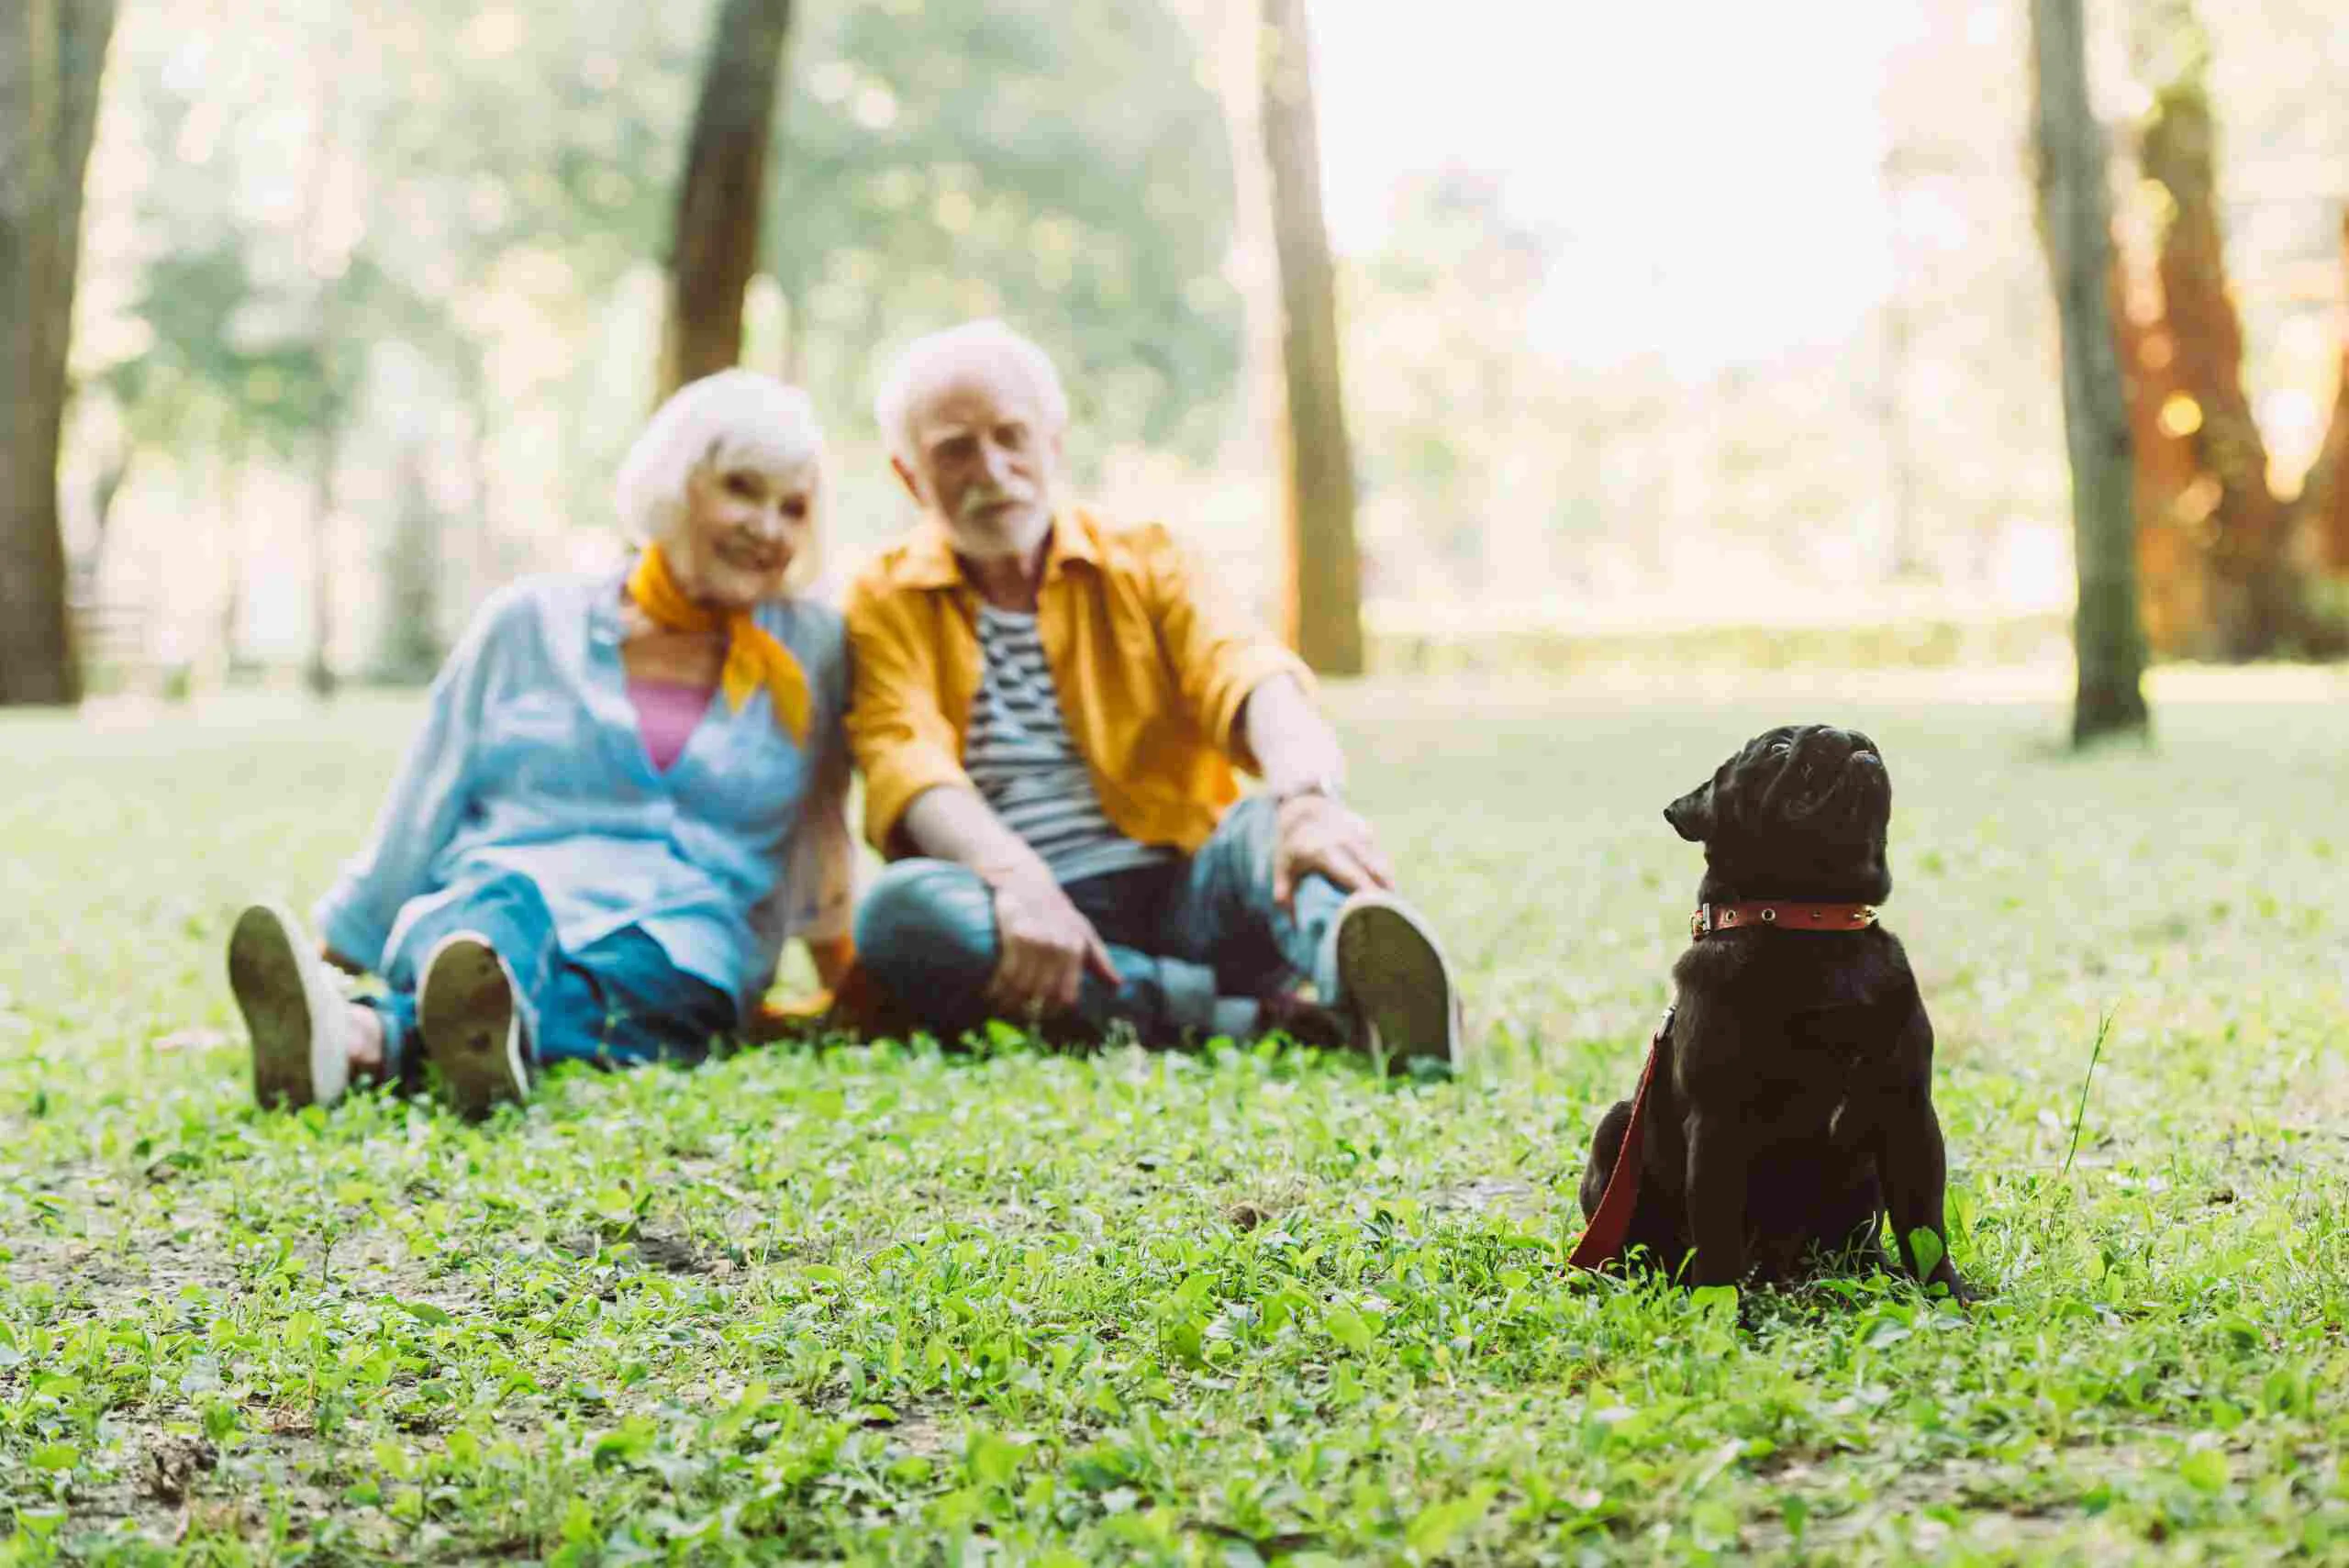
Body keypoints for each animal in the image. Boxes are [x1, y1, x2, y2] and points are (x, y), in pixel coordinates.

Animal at [1569, 722, 1973, 1296]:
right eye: (1778, 749)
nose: (1845, 733)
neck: (1813, 924)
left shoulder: (1909, 1113)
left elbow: (1924, 1224)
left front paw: (1945, 1293)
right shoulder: (1719, 1124)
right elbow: (1716, 1230)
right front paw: (1717, 1306)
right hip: (1618, 1125)